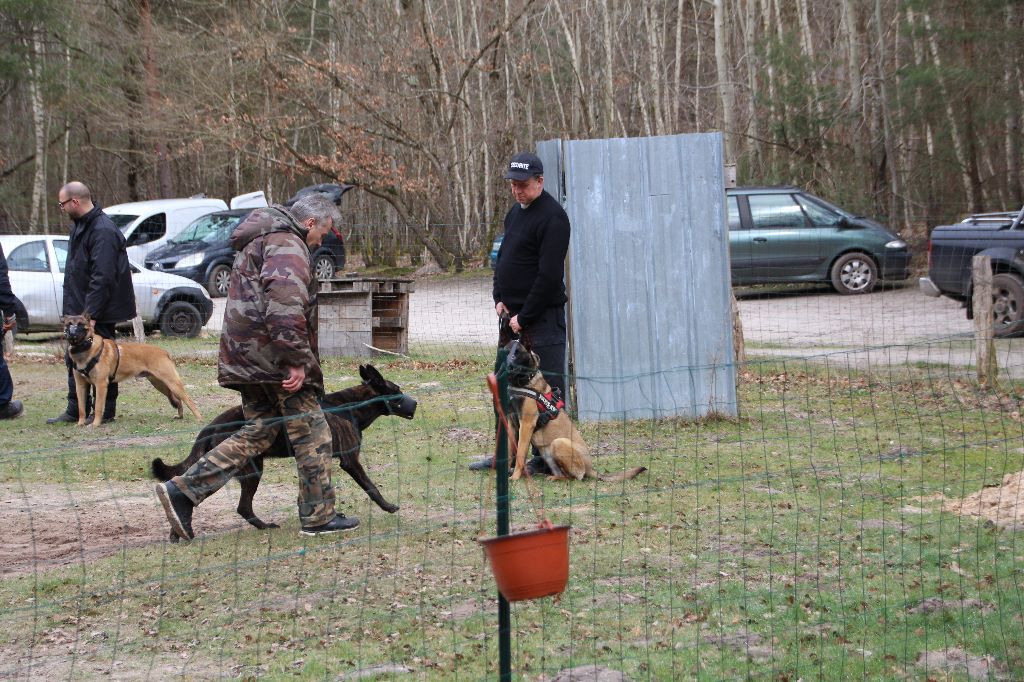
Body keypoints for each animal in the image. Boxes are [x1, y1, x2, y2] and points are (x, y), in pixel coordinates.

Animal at [63, 313, 201, 425]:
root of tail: (163, 352)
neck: (87, 349)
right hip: (160, 385)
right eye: (68, 324)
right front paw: (80, 423)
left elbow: (98, 407)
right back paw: (180, 416)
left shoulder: (101, 384)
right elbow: (81, 408)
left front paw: (95, 424)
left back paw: (199, 418)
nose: (72, 334)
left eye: (81, 324)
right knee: (178, 400)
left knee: (188, 399)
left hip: (171, 383)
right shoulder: (80, 385)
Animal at [149, 364, 413, 532]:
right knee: (241, 506)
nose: (415, 403)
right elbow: (370, 486)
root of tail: (211, 426)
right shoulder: (350, 460)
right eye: (397, 391)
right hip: (250, 471)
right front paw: (388, 506)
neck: (351, 407)